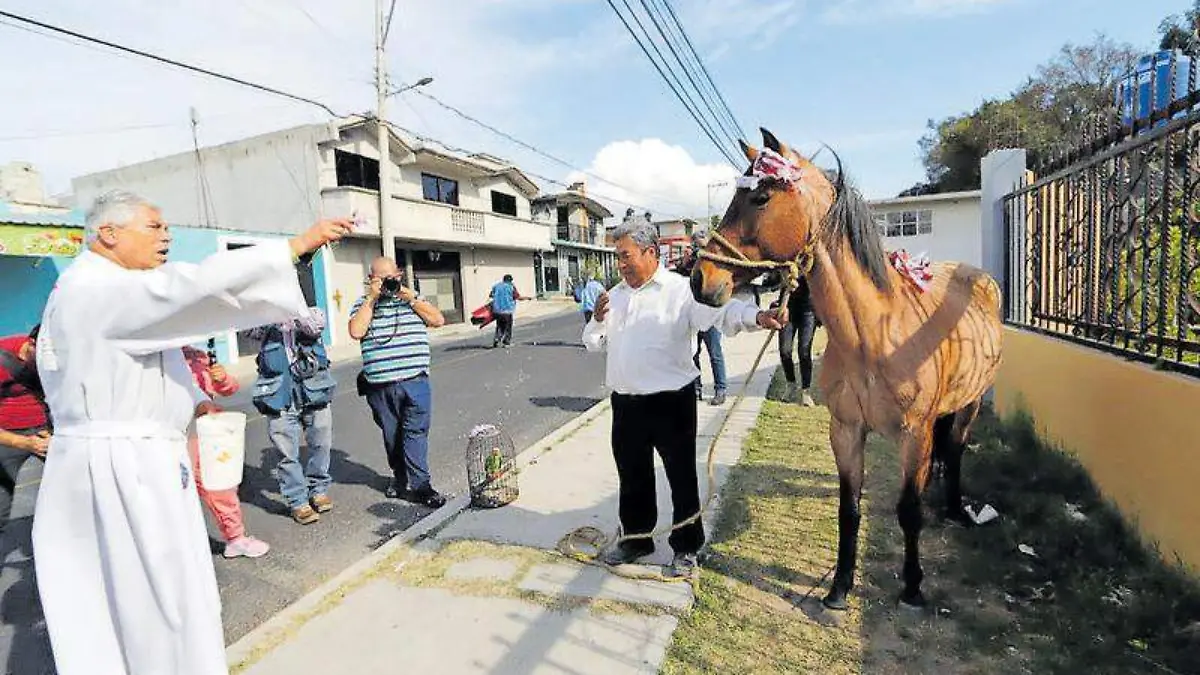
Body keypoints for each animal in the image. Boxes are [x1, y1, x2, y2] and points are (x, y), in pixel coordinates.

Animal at [696, 128, 1003, 607]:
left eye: (761, 197)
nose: (701, 280)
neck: (876, 337)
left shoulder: (914, 435)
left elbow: (908, 510)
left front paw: (912, 585)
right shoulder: (845, 430)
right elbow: (850, 509)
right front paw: (839, 586)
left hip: (969, 403)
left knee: (954, 451)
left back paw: (955, 509)